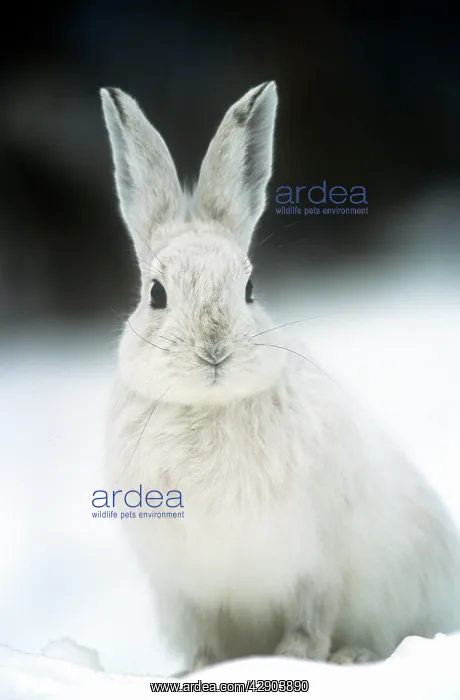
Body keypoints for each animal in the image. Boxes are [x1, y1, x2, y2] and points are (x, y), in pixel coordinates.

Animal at [100, 81, 460, 672]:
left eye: (249, 290)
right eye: (156, 294)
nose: (214, 350)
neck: (209, 406)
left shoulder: (316, 564)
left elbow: (311, 619)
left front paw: (296, 658)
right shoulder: (187, 589)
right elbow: (204, 638)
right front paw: (199, 670)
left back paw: (352, 657)